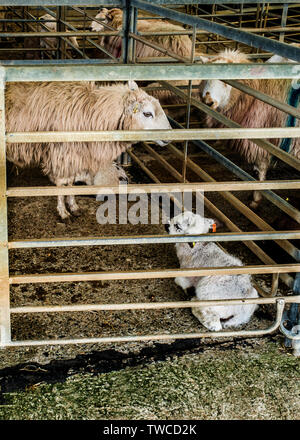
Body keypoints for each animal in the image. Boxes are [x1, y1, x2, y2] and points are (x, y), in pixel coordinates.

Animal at [5, 79, 171, 220]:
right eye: (147, 113)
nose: (169, 137)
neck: (91, 111)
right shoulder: (62, 153)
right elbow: (61, 183)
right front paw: (63, 212)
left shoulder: (74, 155)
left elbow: (70, 182)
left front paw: (73, 206)